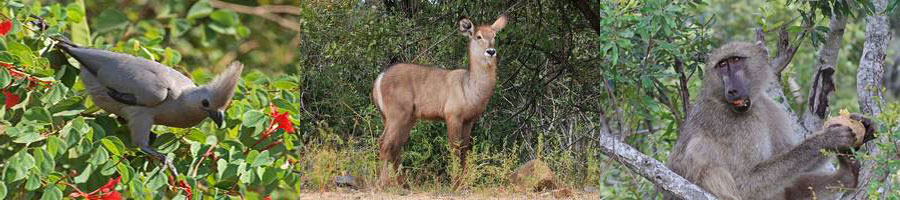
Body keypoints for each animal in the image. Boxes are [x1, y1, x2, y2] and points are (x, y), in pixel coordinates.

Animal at [370, 15, 506, 188]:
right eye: (478, 36)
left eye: (494, 36)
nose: (491, 51)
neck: (470, 88)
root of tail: (378, 80)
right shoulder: (452, 115)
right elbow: (454, 148)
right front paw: (455, 183)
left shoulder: (469, 120)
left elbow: (464, 149)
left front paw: (463, 182)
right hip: (397, 114)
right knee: (385, 143)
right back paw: (383, 182)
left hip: (401, 117)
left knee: (395, 145)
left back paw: (403, 183)